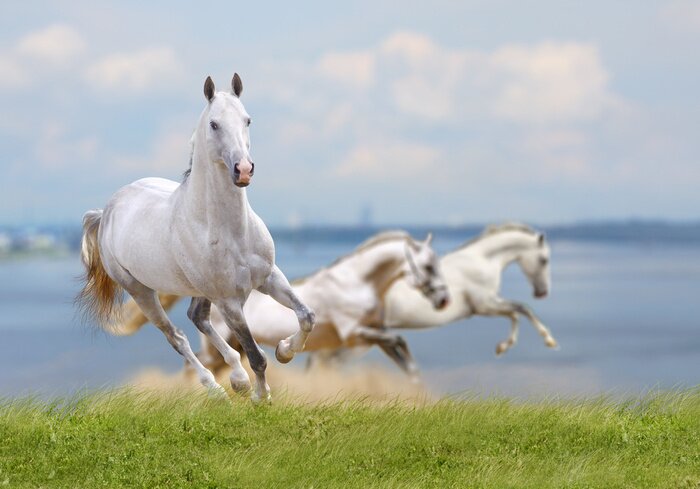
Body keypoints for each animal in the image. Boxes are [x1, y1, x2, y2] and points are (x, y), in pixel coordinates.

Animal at [76, 74, 315, 403]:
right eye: (214, 124)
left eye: (247, 120)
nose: (243, 170)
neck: (231, 231)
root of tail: (107, 210)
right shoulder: (229, 302)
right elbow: (256, 356)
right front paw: (261, 398)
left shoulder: (269, 278)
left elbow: (307, 316)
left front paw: (285, 351)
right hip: (141, 291)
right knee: (176, 336)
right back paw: (218, 390)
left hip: (199, 289)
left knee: (196, 316)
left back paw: (238, 380)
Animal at [113, 232, 450, 378]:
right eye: (428, 266)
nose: (443, 299)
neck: (356, 283)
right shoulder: (355, 333)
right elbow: (399, 339)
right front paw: (284, 350)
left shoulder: (372, 334)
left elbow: (403, 353)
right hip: (219, 345)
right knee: (193, 364)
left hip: (233, 347)